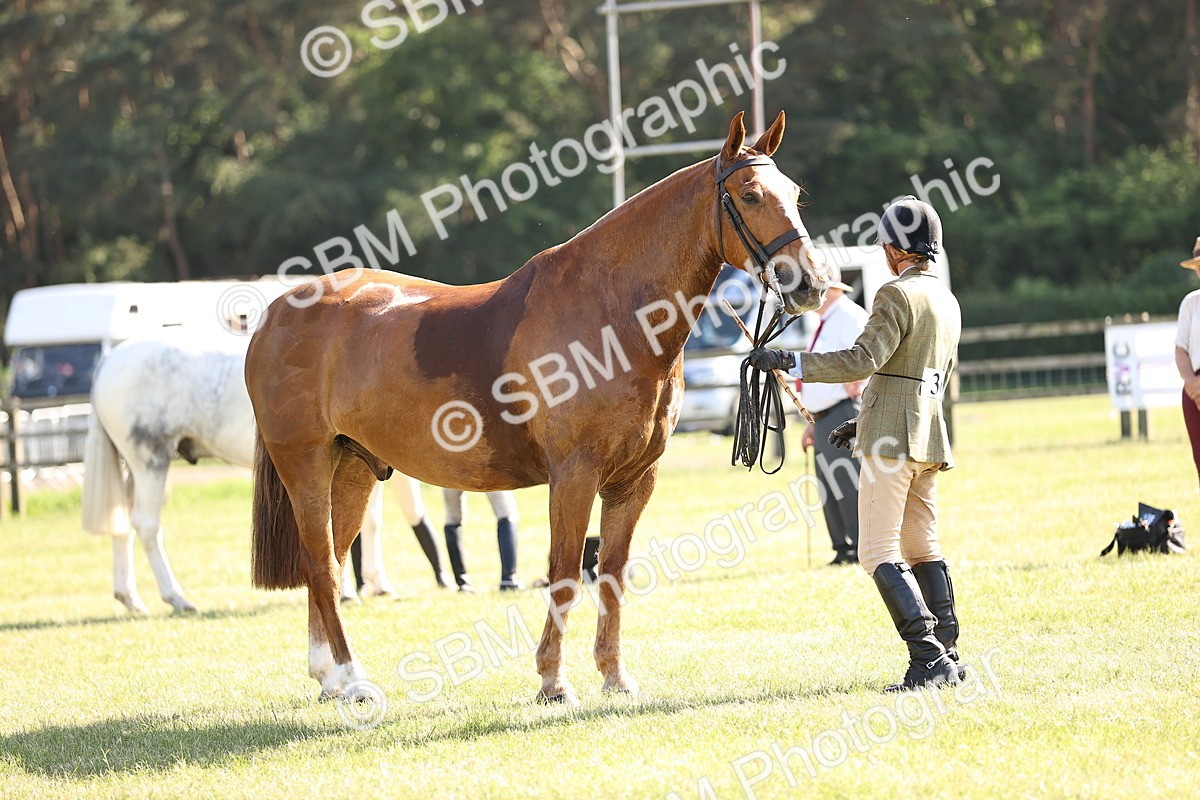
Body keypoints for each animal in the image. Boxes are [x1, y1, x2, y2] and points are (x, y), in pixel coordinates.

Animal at [81, 335, 444, 613]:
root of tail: (111, 359)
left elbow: (368, 523)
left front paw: (375, 584)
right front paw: (349, 590)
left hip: (133, 467)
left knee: (123, 526)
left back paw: (131, 599)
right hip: (151, 460)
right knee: (146, 525)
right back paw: (177, 598)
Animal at [246, 111, 828, 703]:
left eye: (794, 194)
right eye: (750, 194)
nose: (809, 282)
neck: (612, 316)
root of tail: (276, 313)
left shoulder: (634, 480)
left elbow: (612, 574)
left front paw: (614, 676)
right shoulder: (574, 475)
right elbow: (566, 572)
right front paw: (553, 681)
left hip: (354, 467)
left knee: (334, 563)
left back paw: (330, 678)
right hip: (306, 463)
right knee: (320, 565)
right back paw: (351, 679)